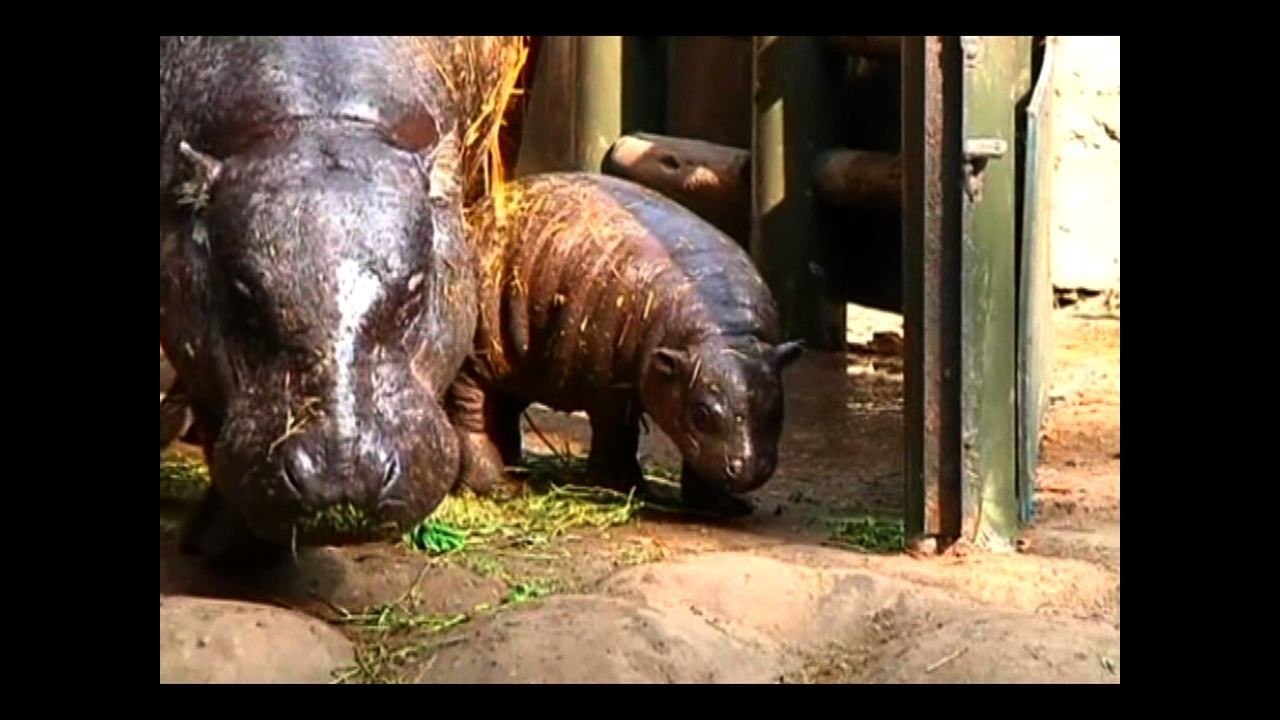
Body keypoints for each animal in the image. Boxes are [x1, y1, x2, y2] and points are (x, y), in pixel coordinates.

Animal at [447, 172, 802, 515]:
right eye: (701, 413)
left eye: (776, 407)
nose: (748, 469)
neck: (721, 333)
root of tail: (472, 214)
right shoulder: (609, 387)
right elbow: (617, 432)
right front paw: (624, 490)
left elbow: (702, 459)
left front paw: (729, 507)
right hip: (475, 360)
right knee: (472, 416)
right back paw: (502, 488)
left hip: (518, 367)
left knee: (502, 410)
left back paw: (515, 470)